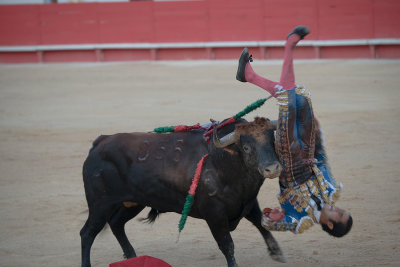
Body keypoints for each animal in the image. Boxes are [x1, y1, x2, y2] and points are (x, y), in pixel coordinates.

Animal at [79, 118, 284, 267]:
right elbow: (227, 245)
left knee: (116, 223)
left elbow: (260, 222)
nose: (272, 168)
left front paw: (277, 253)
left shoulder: (247, 202)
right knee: (87, 233)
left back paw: (132, 257)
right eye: (247, 147)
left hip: (133, 203)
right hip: (100, 205)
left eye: (272, 141)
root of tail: (100, 141)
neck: (223, 160)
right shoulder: (214, 213)